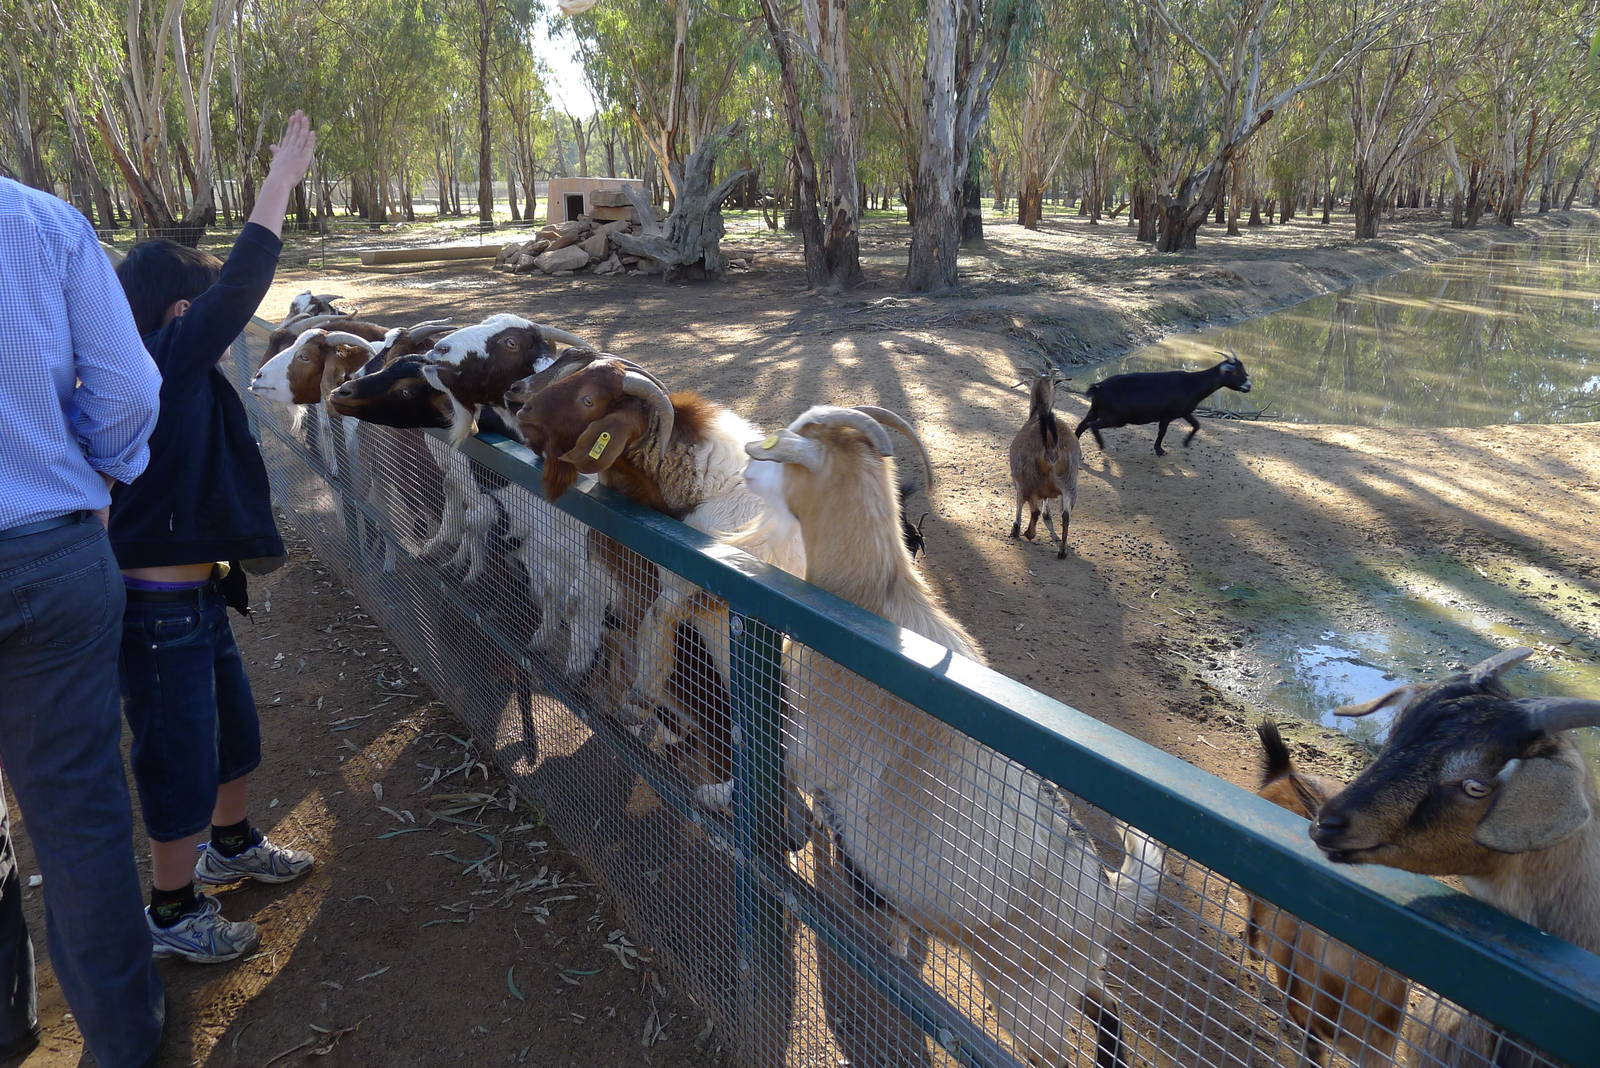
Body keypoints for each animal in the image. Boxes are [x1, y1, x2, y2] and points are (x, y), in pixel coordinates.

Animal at [742, 406, 1164, 1068]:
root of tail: (1103, 900)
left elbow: (777, 762)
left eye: (788, 446)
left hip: (1029, 1000)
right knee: (1108, 1012)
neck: (868, 604)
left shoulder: (809, 746)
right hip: (1070, 977)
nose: (742, 463)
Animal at [1009, 371, 1082, 559]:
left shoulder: (1018, 479)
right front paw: (1047, 516)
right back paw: (1062, 551)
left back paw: (1027, 533)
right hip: (1070, 481)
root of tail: (1051, 446)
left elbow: (1019, 501)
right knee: (1066, 515)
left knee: (1033, 509)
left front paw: (1015, 527)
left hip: (1029, 478)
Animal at [1076, 353, 1251, 456]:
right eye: (1235, 372)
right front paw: (1160, 450)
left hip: (1095, 409)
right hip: (1115, 418)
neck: (1192, 384)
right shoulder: (1167, 415)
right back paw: (1100, 444)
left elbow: (1197, 425)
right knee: (1091, 425)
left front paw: (1186, 443)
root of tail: (1099, 386)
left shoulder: (1184, 412)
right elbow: (1162, 432)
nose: (1248, 386)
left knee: (1082, 425)